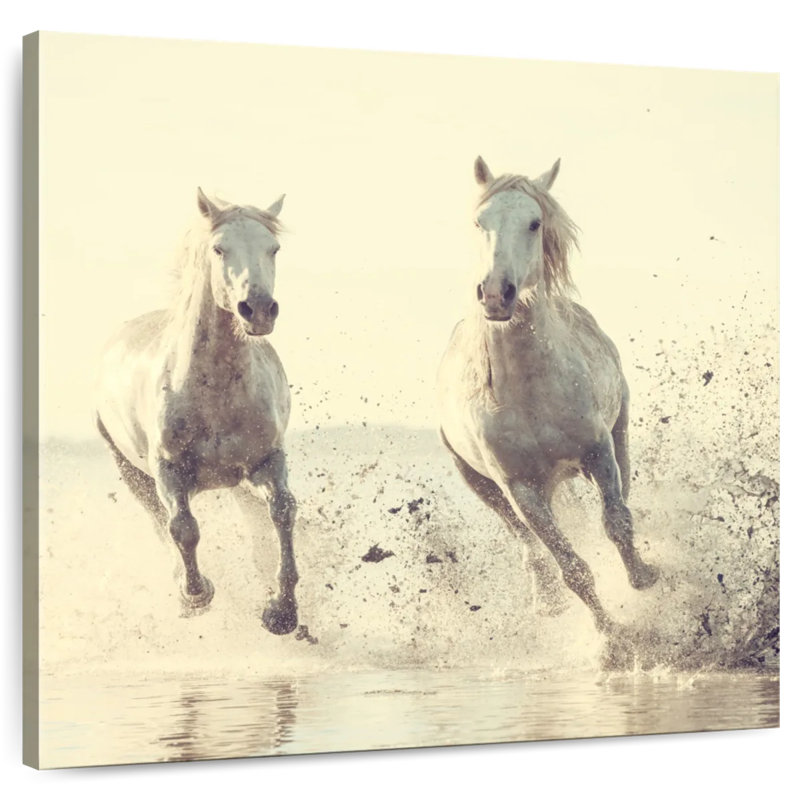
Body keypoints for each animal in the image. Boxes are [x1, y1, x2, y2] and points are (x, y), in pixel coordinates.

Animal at [95, 188, 299, 635]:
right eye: (219, 249)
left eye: (273, 248)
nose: (258, 309)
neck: (215, 392)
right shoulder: (168, 471)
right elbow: (183, 529)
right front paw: (196, 595)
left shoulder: (267, 460)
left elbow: (282, 511)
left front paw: (282, 611)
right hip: (131, 471)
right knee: (159, 523)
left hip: (235, 479)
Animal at [437, 156, 658, 635]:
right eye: (479, 222)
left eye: (534, 222)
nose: (495, 294)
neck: (528, 393)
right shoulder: (521, 489)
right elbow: (571, 567)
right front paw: (611, 637)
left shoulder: (597, 451)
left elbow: (616, 523)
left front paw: (642, 578)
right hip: (481, 485)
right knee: (527, 544)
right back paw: (546, 599)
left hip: (619, 432)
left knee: (624, 494)